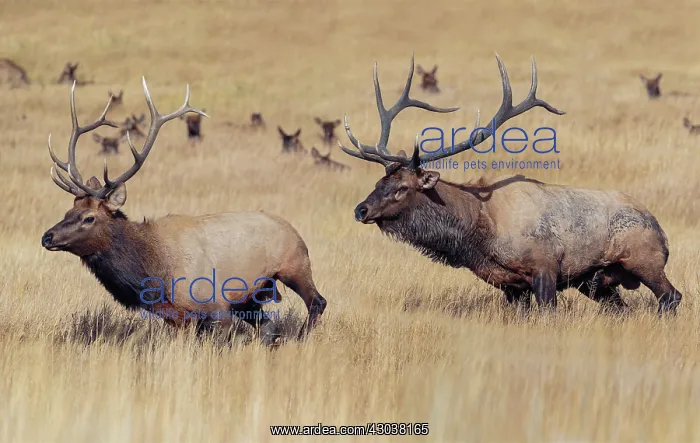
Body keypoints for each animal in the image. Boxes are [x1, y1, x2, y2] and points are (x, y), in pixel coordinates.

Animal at [41, 80, 327, 345]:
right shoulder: (176, 316)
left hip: (295, 264)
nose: (47, 237)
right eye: (68, 210)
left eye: (89, 218)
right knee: (270, 328)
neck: (153, 272)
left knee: (317, 301)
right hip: (252, 297)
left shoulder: (216, 305)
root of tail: (292, 228)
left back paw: (302, 338)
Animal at [339, 54, 682, 317]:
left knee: (671, 296)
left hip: (644, 260)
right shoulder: (509, 285)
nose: (360, 209)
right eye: (379, 181)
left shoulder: (545, 268)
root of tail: (661, 229)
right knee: (621, 309)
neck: (481, 232)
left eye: (403, 188)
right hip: (597, 282)